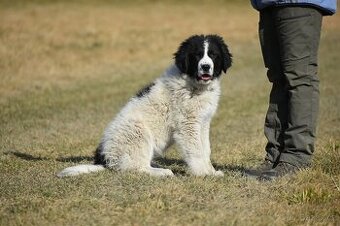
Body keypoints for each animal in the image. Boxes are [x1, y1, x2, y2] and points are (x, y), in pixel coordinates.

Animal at [57, 34, 231, 177]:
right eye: (197, 55)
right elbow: (196, 150)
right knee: (134, 167)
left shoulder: (203, 122)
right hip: (138, 132)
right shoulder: (187, 125)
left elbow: (205, 149)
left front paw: (211, 171)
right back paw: (162, 172)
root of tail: (104, 159)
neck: (194, 85)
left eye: (213, 55)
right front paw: (203, 173)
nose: (206, 66)